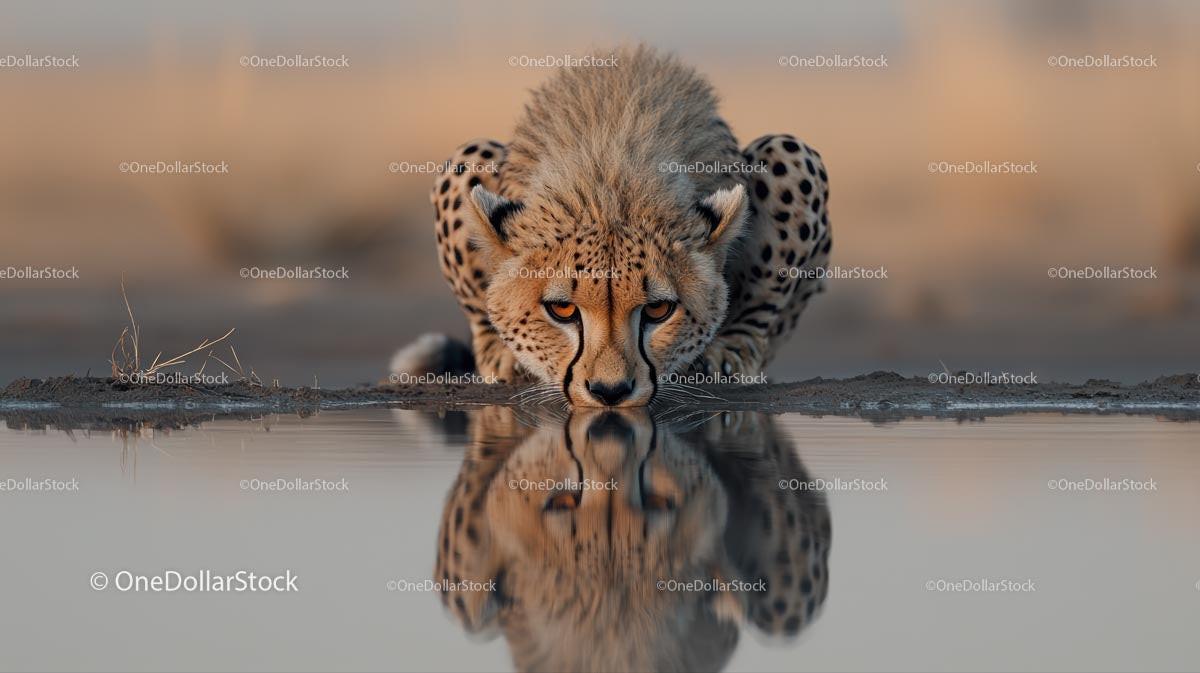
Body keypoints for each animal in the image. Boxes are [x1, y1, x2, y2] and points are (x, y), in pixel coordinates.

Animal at [396, 45, 832, 407]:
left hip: (786, 152)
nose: (610, 392)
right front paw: (505, 353)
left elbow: (764, 296)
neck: (610, 184)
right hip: (470, 157)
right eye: (561, 309)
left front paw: (730, 351)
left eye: (658, 309)